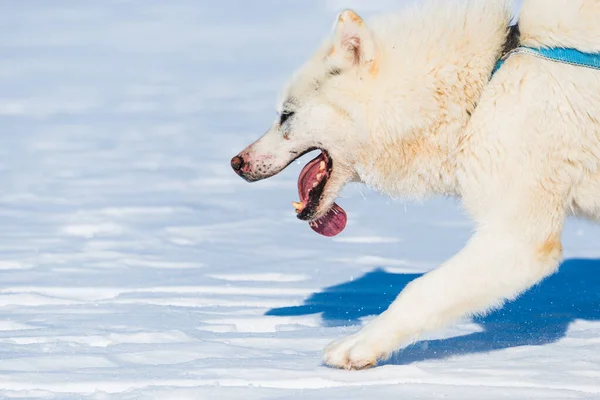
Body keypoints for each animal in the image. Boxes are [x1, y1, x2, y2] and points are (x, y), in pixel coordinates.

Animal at [230, 0, 600, 368]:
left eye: (286, 115)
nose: (236, 163)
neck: (486, 84)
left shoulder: (518, 241)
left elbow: (419, 289)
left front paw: (359, 345)